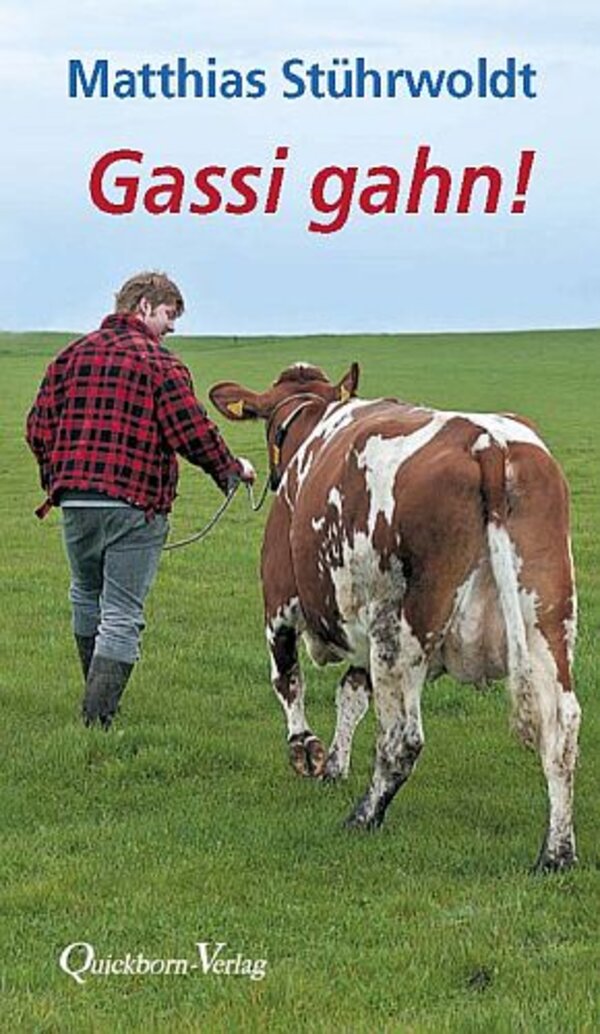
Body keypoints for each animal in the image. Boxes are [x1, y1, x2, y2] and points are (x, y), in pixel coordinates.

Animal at [211, 363, 579, 872]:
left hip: (398, 630)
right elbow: (350, 694)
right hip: (548, 619)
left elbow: (288, 681)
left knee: (402, 738)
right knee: (561, 729)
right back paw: (557, 852)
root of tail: (487, 443)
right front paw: (334, 764)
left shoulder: (280, 601)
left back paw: (364, 816)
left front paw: (306, 751)